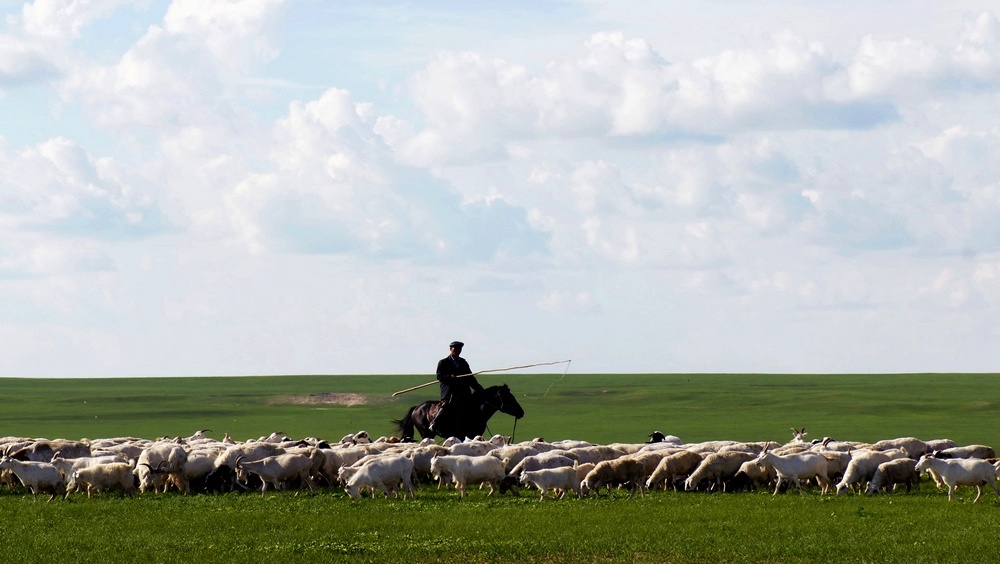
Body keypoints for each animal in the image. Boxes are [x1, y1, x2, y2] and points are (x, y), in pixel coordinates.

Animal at [394, 386, 528, 442]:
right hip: (425, 432)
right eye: (508, 397)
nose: (521, 412)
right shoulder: (463, 435)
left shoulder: (474, 435)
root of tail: (417, 407)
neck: (474, 410)